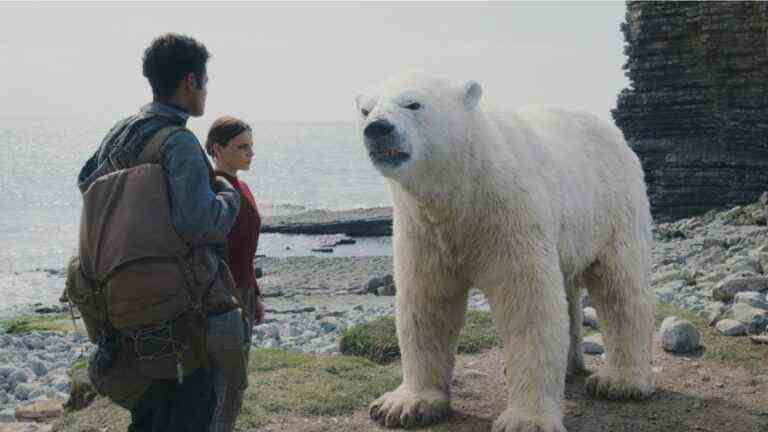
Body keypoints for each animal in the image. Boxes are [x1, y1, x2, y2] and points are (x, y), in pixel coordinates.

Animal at [356, 72, 656, 430]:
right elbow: (426, 303)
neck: (463, 189)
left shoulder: (509, 216)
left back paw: (620, 381)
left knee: (620, 287)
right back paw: (570, 367)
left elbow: (528, 304)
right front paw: (404, 405)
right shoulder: (423, 231)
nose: (377, 128)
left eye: (413, 103)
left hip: (612, 208)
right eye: (365, 109)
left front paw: (526, 419)